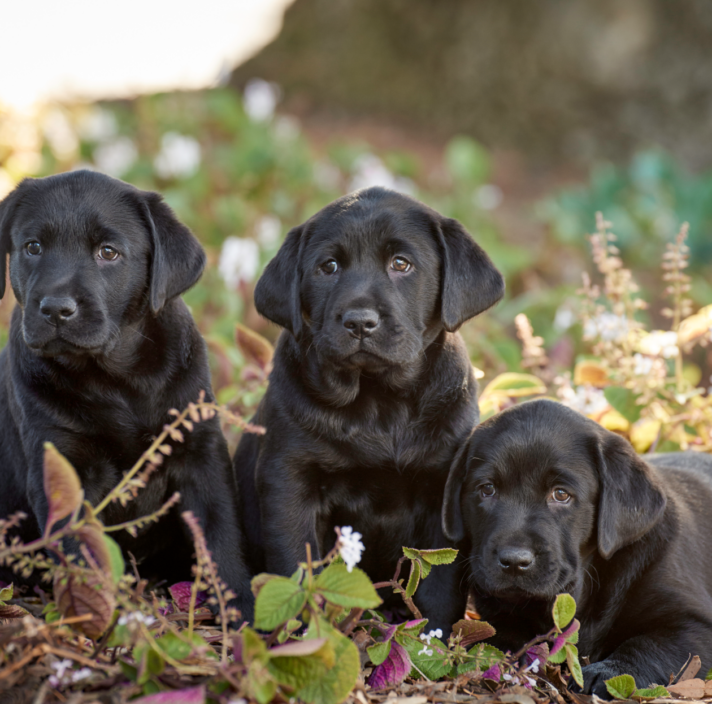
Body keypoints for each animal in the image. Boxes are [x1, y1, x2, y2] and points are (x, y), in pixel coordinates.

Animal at [0, 170, 253, 620]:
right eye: (32, 247)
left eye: (108, 252)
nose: (55, 308)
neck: (114, 378)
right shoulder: (60, 461)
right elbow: (82, 550)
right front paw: (96, 616)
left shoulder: (200, 450)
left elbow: (221, 532)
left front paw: (243, 612)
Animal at [235, 188, 506, 632]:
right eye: (328, 267)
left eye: (401, 264)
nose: (359, 321)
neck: (380, 403)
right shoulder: (288, 480)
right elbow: (296, 563)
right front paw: (305, 633)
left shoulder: (444, 489)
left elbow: (439, 583)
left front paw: (430, 638)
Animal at [442, 398, 712, 696]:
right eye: (487, 489)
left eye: (561, 494)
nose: (514, 561)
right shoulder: (496, 613)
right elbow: (501, 637)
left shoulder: (693, 623)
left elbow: (648, 646)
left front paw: (610, 672)